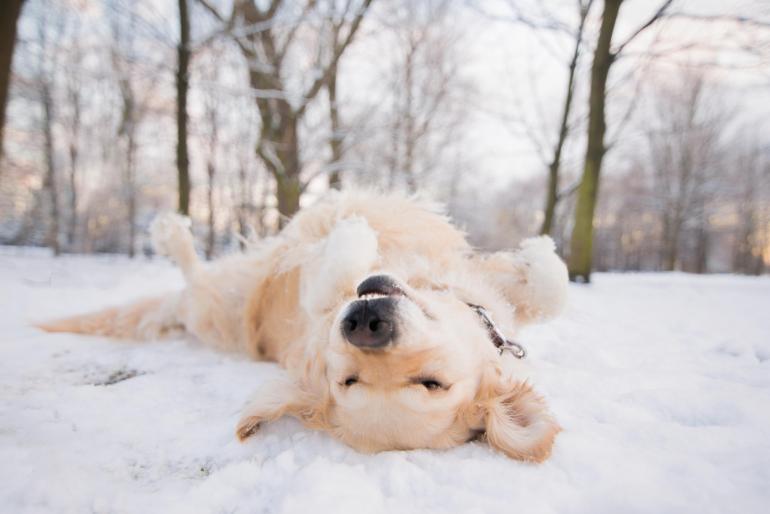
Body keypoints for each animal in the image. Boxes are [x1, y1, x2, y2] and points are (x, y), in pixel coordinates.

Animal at [40, 191, 568, 460]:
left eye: (430, 383)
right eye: (349, 381)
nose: (366, 323)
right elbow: (553, 289)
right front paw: (543, 251)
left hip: (224, 306)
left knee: (196, 280)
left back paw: (171, 233)